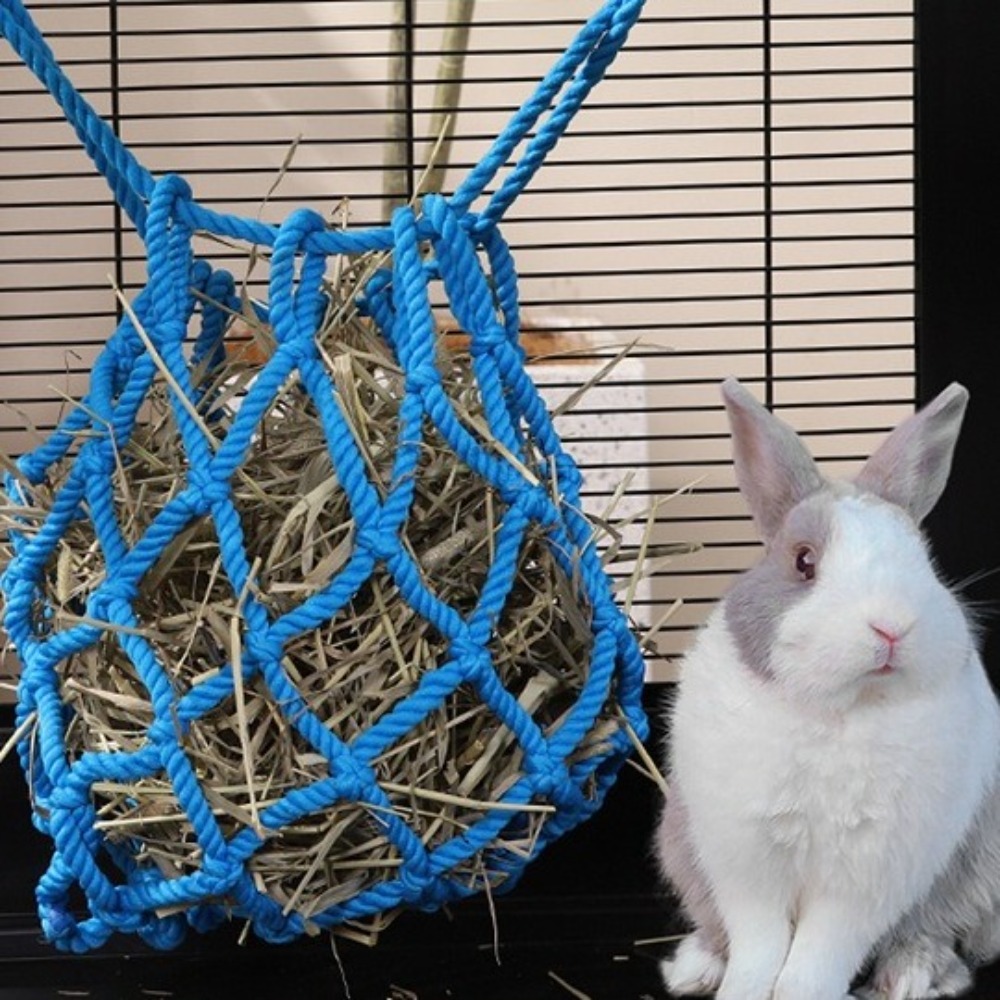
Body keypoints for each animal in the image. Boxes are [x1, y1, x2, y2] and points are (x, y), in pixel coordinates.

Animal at [654, 378, 1000, 1000]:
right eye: (804, 561)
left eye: (924, 561)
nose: (891, 627)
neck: (836, 710)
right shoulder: (745, 862)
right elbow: (759, 944)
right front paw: (742, 989)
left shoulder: (866, 879)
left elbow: (821, 952)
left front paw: (800, 992)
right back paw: (695, 968)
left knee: (937, 934)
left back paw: (912, 975)